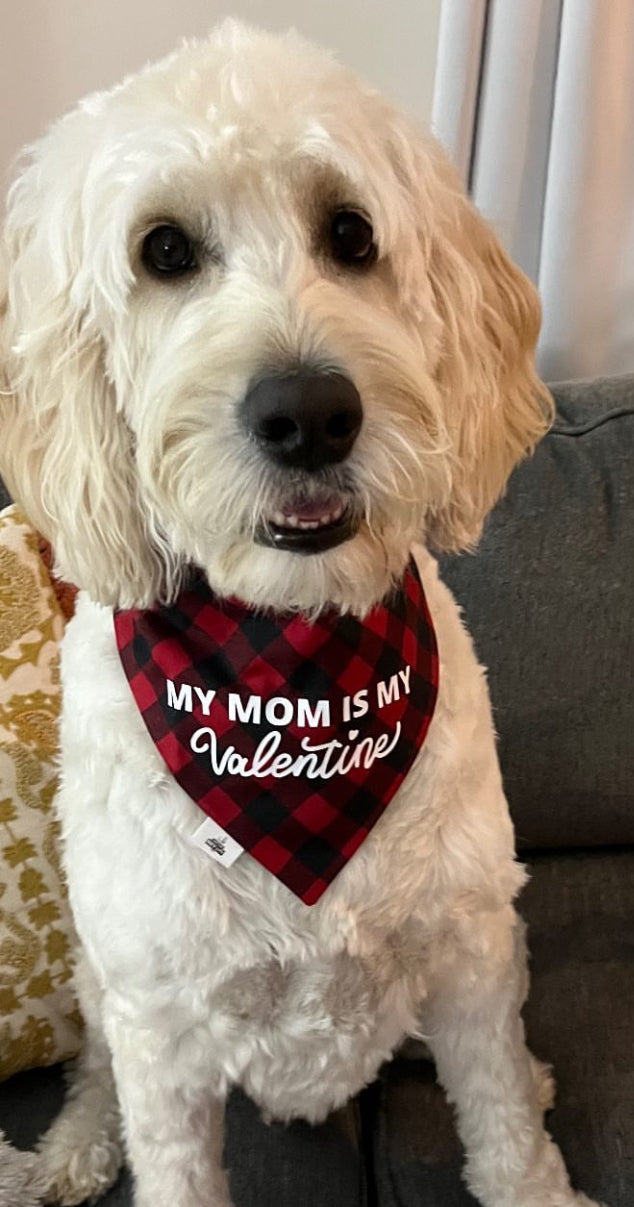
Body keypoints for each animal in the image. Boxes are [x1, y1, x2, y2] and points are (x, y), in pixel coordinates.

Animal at [0, 18, 598, 1207]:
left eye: (351, 233)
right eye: (164, 251)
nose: (308, 412)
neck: (293, 662)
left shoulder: (470, 954)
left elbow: (505, 1123)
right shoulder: (161, 1025)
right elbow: (165, 1148)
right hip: (100, 979)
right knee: (92, 1064)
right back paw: (75, 1144)